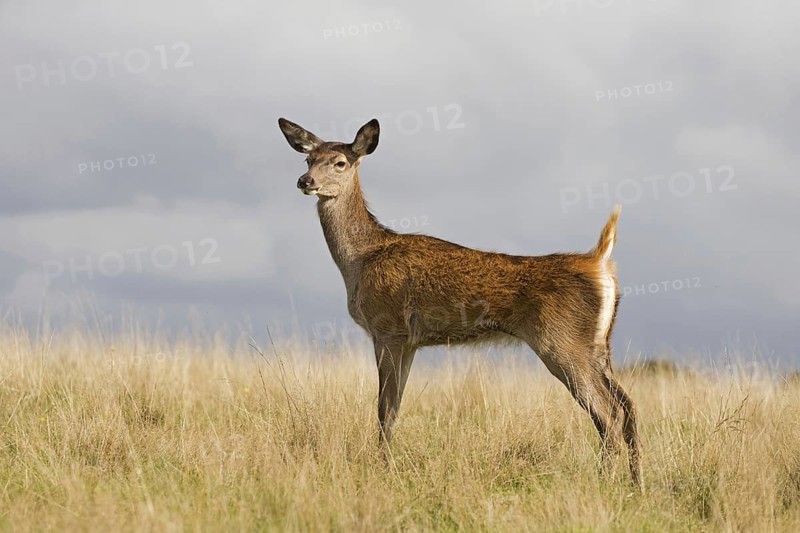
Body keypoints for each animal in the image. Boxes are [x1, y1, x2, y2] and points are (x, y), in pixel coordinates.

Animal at [278, 117, 642, 488]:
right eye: (308, 159)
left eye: (340, 163)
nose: (305, 181)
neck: (360, 260)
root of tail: (599, 262)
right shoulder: (410, 341)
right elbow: (395, 406)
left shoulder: (388, 328)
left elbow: (384, 408)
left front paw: (383, 469)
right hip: (598, 345)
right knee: (628, 407)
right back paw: (635, 484)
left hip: (561, 340)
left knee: (609, 413)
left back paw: (605, 481)